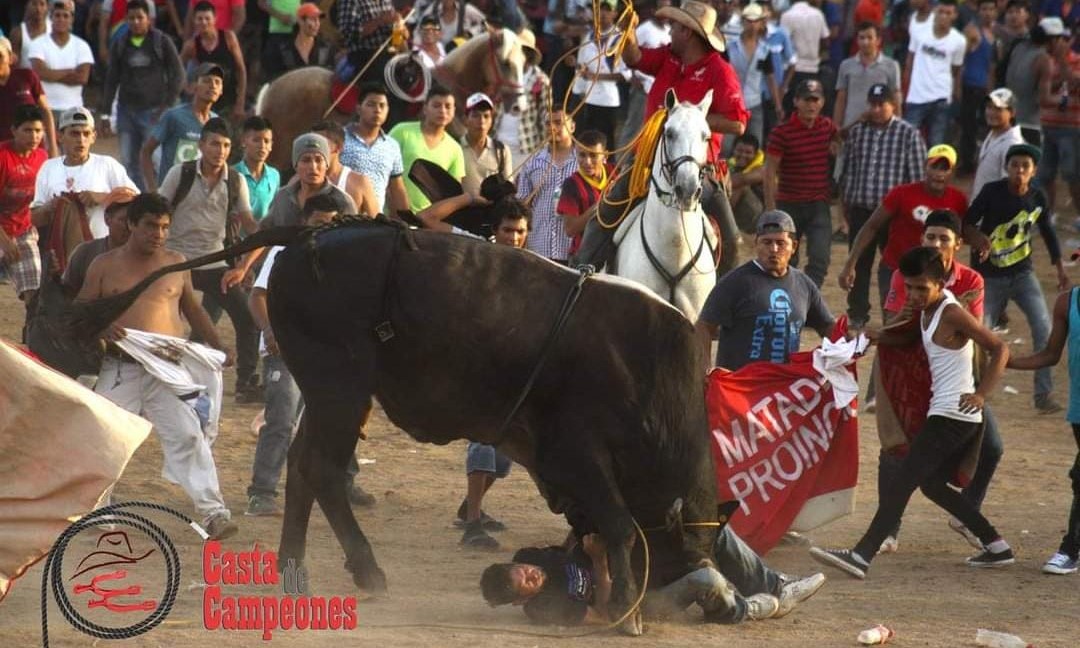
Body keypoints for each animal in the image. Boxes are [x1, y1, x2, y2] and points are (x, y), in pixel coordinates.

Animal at [54, 219, 721, 626]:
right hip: (340, 392)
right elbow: (619, 522)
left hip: (331, 397)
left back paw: (298, 570)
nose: (694, 592)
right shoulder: (576, 453)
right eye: (690, 543)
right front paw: (625, 607)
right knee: (320, 468)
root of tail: (306, 239)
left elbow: (607, 522)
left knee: (305, 468)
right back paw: (356, 568)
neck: (644, 366)